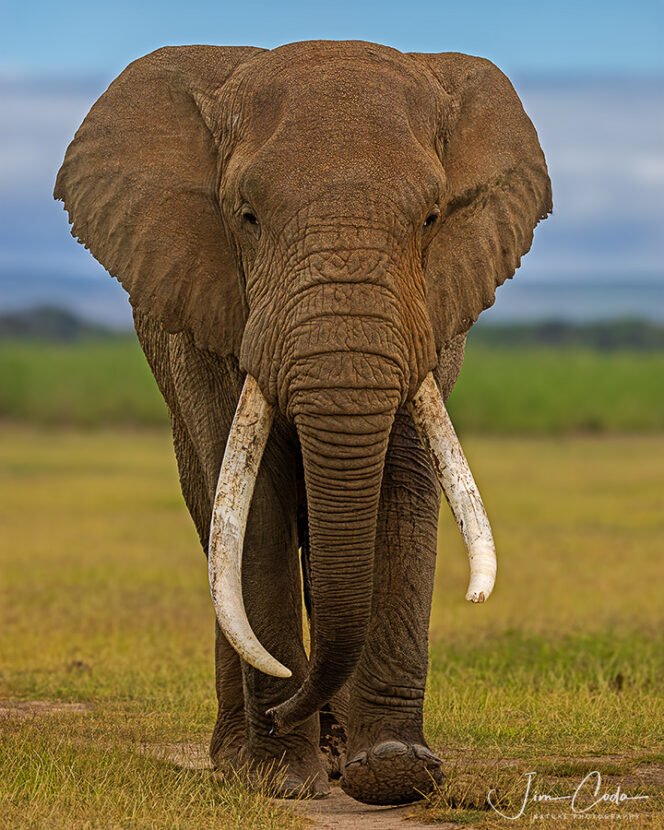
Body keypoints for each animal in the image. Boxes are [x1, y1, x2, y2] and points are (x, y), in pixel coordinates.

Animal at [55, 40, 551, 805]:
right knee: (216, 529)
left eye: (432, 218)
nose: (290, 702)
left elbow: (401, 488)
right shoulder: (209, 312)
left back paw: (338, 757)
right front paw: (280, 779)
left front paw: (395, 773)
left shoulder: (435, 313)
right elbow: (253, 507)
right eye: (247, 217)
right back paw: (244, 755)